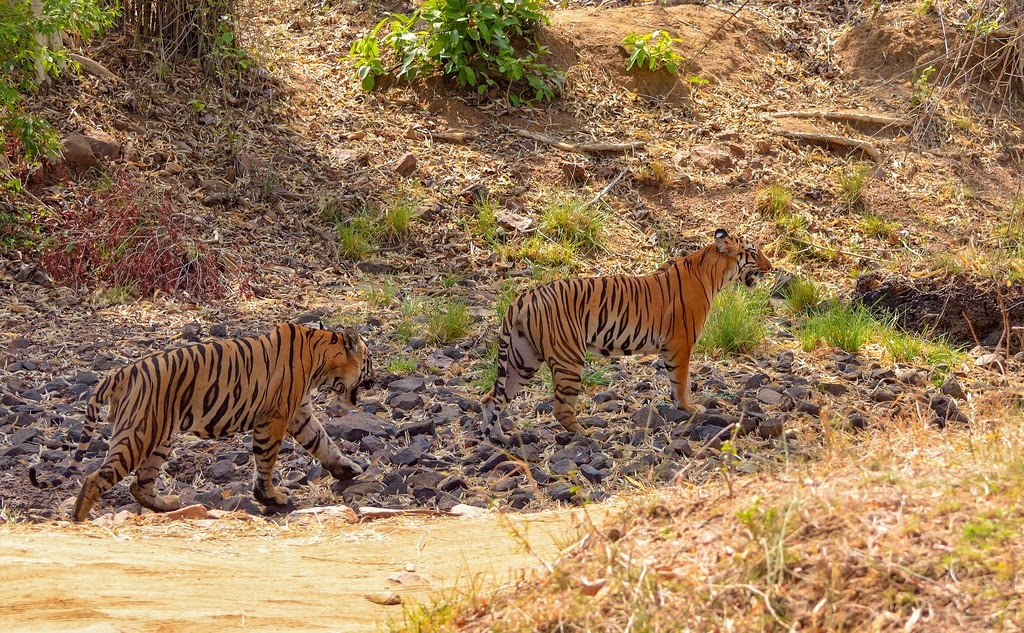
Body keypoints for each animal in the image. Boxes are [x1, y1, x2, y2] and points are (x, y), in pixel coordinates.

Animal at [30, 323, 376, 520]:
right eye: (369, 361)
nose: (376, 379)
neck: (321, 360)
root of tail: (120, 372)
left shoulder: (300, 413)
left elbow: (323, 442)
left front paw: (348, 469)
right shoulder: (276, 417)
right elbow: (266, 460)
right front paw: (272, 497)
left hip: (159, 437)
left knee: (139, 484)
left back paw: (170, 506)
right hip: (139, 434)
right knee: (96, 478)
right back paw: (78, 521)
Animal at [479, 229, 770, 440]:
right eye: (753, 252)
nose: (771, 266)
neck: (714, 272)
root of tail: (522, 298)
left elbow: (680, 381)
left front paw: (687, 405)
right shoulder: (681, 343)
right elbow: (681, 380)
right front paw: (689, 408)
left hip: (523, 359)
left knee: (490, 398)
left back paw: (498, 438)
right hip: (567, 358)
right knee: (560, 409)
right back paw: (586, 433)